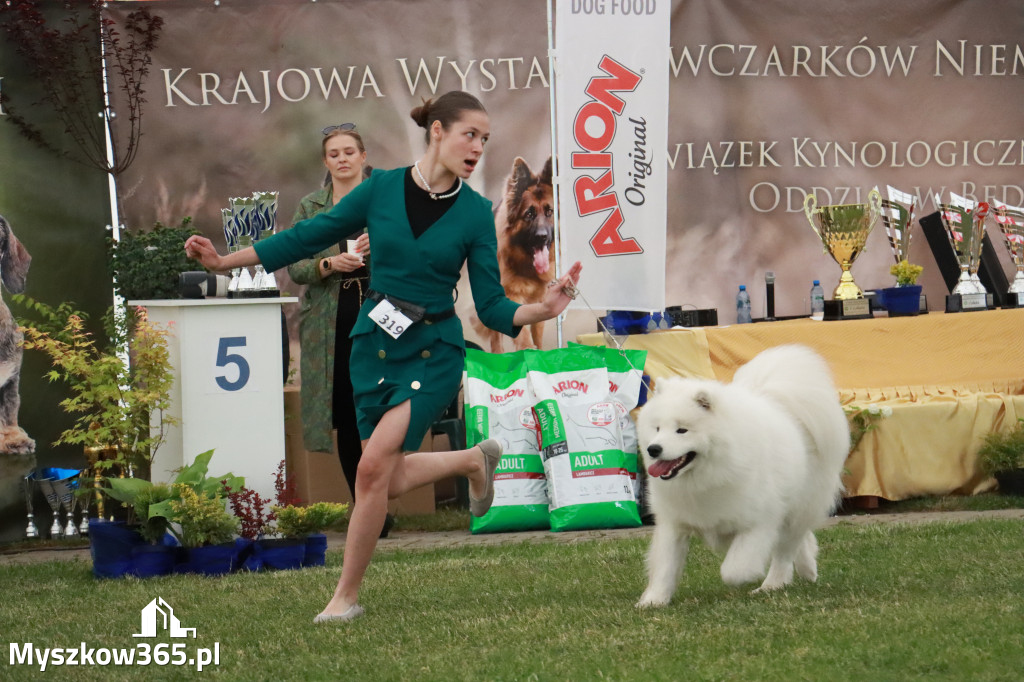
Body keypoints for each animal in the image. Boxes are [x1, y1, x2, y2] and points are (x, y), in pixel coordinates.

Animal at [638, 342, 847, 602]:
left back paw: (772, 584)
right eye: (657, 428)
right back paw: (807, 570)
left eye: (682, 430)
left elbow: (733, 570)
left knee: (785, 550)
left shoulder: (758, 523)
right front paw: (653, 601)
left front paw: (747, 577)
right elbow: (665, 566)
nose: (654, 449)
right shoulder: (674, 523)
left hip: (800, 506)